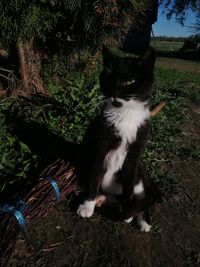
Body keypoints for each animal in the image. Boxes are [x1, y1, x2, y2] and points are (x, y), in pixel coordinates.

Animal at [77, 45, 159, 232]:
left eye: (129, 82)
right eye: (109, 78)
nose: (114, 91)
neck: (124, 115)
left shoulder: (135, 153)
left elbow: (129, 184)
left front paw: (127, 213)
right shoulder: (100, 148)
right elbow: (94, 176)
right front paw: (87, 205)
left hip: (140, 174)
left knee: (142, 198)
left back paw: (143, 220)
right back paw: (102, 200)